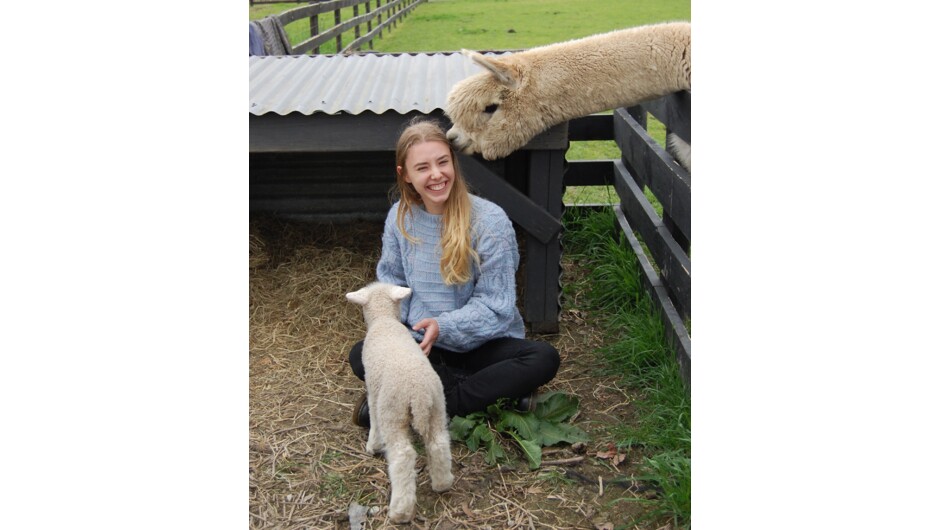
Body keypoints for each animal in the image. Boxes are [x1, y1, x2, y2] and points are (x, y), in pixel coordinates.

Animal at [344, 282, 454, 520]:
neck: (384, 320)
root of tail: (418, 393)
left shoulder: (374, 390)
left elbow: (374, 420)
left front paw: (372, 446)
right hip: (437, 407)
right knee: (438, 444)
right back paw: (442, 483)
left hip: (393, 411)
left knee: (403, 456)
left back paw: (400, 511)